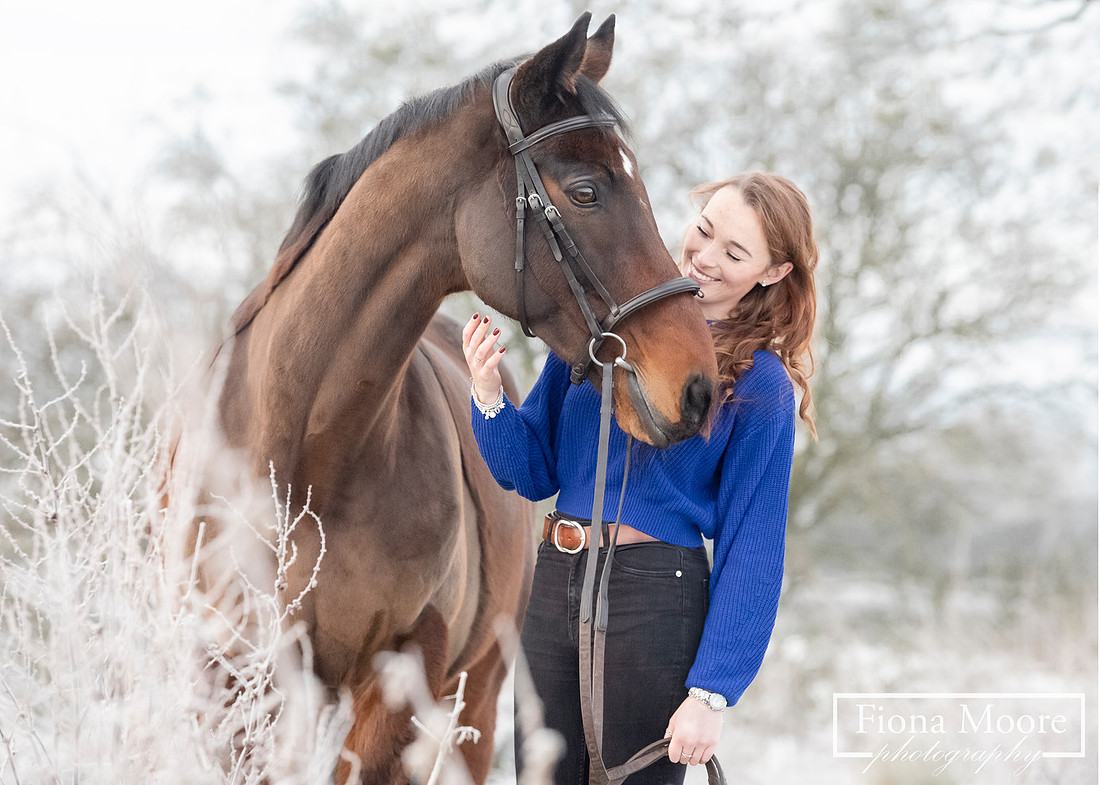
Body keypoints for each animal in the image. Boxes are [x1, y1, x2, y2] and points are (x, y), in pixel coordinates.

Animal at [206, 13, 717, 784]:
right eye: (586, 191)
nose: (698, 384)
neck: (307, 451)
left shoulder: (400, 685)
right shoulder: (230, 675)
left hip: (472, 698)